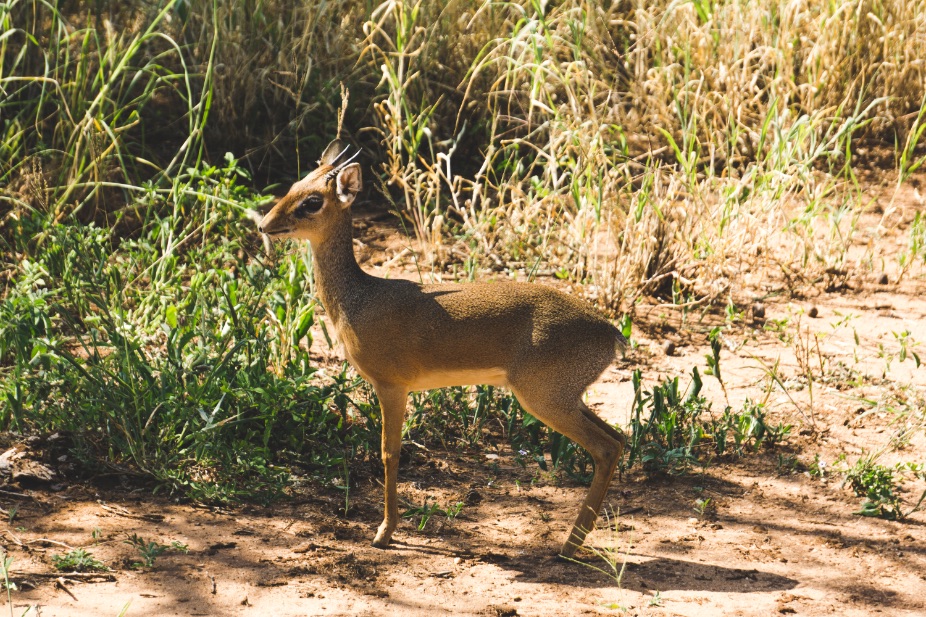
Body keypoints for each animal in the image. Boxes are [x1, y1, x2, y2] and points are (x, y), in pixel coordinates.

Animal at [258, 141, 628, 560]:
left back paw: (568, 546)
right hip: (568, 398)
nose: (264, 224)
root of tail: (611, 333)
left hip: (545, 399)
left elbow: (389, 453)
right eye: (294, 185)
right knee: (619, 439)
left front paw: (384, 533)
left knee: (605, 448)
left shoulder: (392, 387)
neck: (359, 299)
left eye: (313, 201)